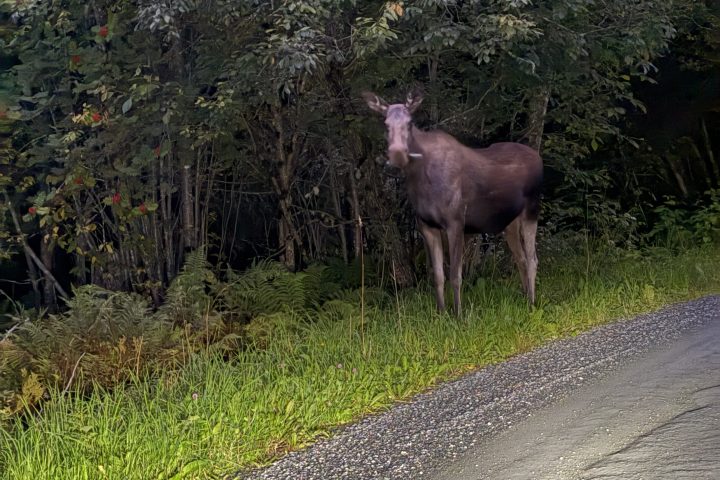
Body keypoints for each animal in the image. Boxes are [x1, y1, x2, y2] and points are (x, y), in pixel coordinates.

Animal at [363, 90, 543, 316]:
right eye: (385, 123)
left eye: (410, 122)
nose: (397, 153)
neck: (421, 179)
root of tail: (539, 158)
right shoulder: (426, 226)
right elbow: (438, 276)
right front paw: (440, 313)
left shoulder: (455, 222)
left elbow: (455, 276)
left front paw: (458, 315)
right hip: (509, 222)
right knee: (520, 258)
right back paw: (525, 298)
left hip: (532, 210)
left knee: (532, 258)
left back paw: (532, 303)